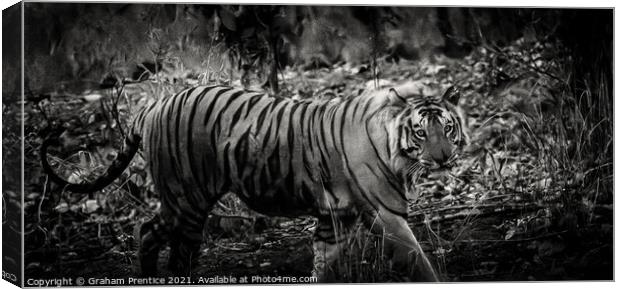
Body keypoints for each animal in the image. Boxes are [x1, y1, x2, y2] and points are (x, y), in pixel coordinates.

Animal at [41, 82, 468, 280]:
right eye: (420, 132)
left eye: (447, 127)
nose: (444, 158)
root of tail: (154, 105)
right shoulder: (385, 213)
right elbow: (419, 261)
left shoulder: (336, 219)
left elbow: (324, 265)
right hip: (187, 199)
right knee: (169, 247)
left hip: (183, 202)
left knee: (149, 232)